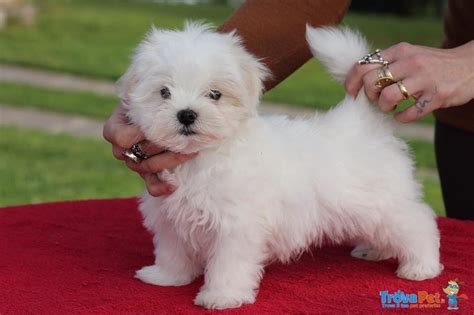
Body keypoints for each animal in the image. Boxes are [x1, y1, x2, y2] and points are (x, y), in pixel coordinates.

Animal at [117, 22, 440, 312]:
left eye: (215, 94)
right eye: (164, 92)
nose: (186, 114)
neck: (202, 157)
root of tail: (360, 120)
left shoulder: (236, 224)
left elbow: (229, 263)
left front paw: (222, 296)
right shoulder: (170, 216)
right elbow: (172, 251)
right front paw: (166, 277)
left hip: (384, 202)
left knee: (417, 224)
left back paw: (422, 266)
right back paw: (376, 250)